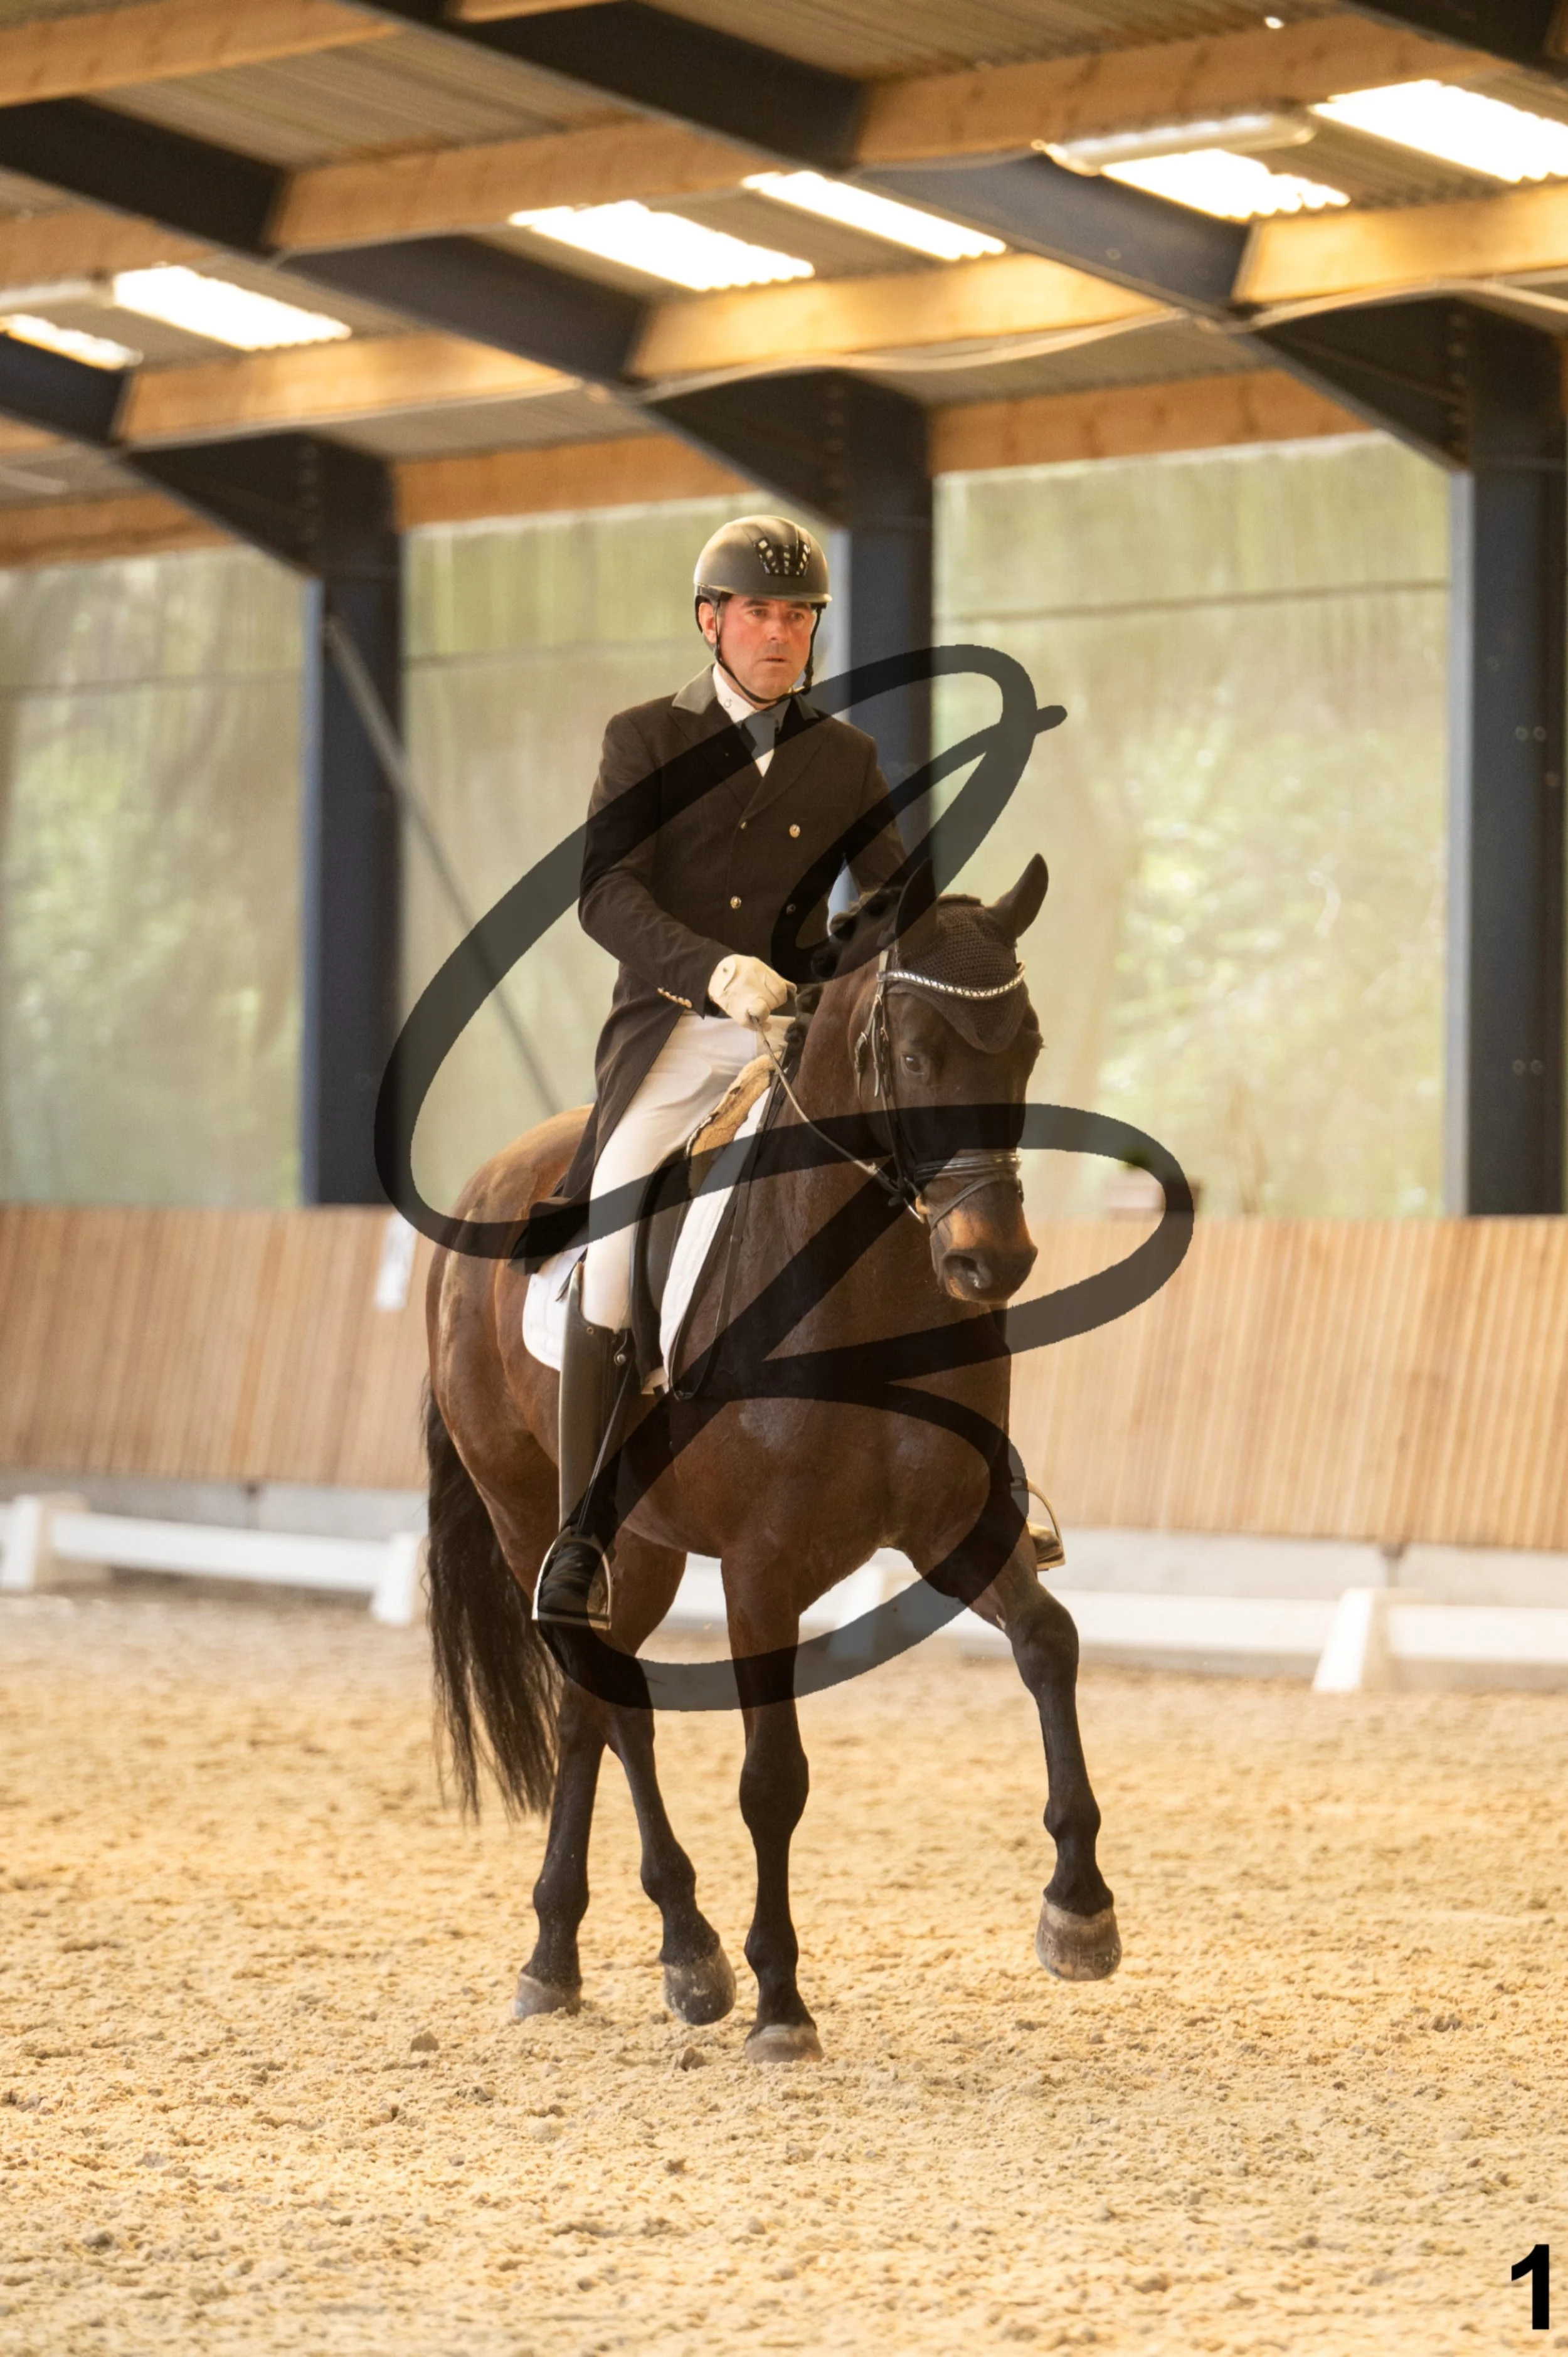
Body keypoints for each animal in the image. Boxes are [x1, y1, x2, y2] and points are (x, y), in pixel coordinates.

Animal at [424, 855, 1120, 2063]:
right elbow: (773, 1778)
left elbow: (1049, 1644)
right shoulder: (762, 1569)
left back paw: (631, 1953)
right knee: (597, 1696)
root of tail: (485, 1186)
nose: (992, 1263)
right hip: (531, 1520)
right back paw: (621, 1950)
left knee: (602, 1709)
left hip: (646, 1549)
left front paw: (1079, 1908)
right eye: (913, 1054)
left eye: (1026, 1043)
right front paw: (783, 1998)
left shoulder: (957, 1526)